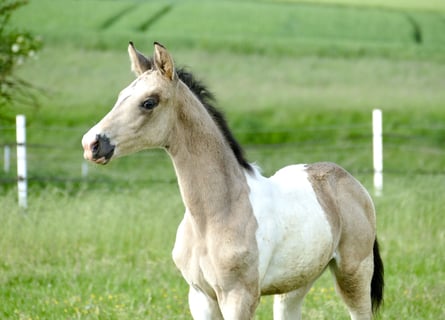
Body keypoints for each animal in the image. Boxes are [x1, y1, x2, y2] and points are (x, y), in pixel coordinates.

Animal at [82, 42, 382, 320]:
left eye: (149, 102)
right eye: (121, 96)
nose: (92, 144)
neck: (214, 214)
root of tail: (352, 184)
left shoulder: (238, 297)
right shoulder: (200, 296)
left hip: (354, 274)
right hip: (297, 282)